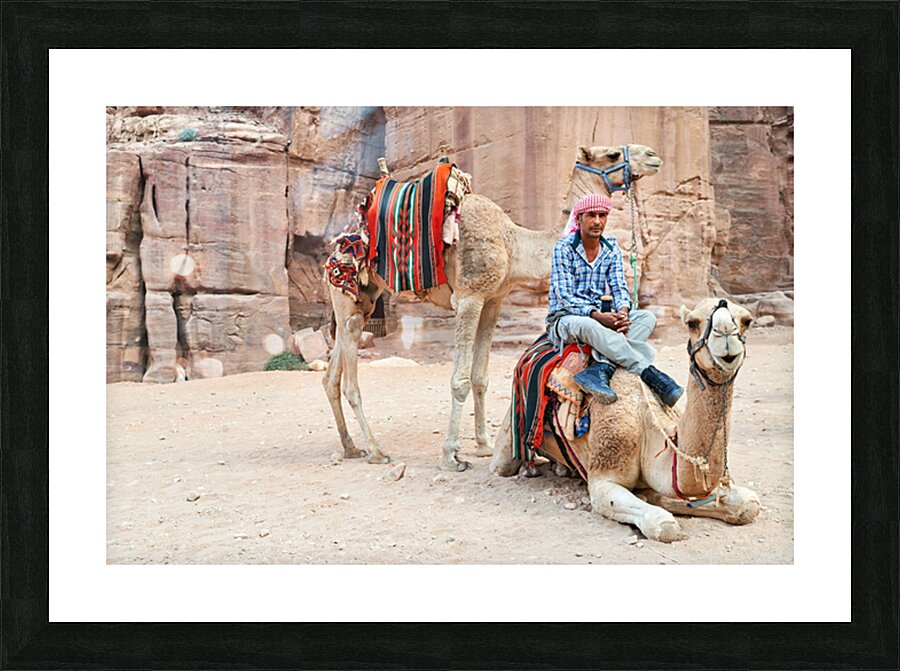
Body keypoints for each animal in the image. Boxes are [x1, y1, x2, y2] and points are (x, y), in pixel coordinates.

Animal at [324, 144, 663, 471]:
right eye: (612, 154)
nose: (653, 156)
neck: (513, 244)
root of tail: (339, 242)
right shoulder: (469, 297)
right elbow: (460, 381)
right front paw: (451, 456)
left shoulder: (493, 300)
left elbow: (480, 377)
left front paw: (484, 444)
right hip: (345, 289)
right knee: (350, 374)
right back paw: (376, 451)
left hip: (364, 297)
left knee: (334, 369)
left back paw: (350, 447)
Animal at [490, 297, 761, 542]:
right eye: (692, 323)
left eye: (747, 320)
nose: (725, 335)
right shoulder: (605, 472)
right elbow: (663, 524)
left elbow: (749, 503)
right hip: (511, 425)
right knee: (502, 464)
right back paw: (528, 468)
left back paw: (561, 468)